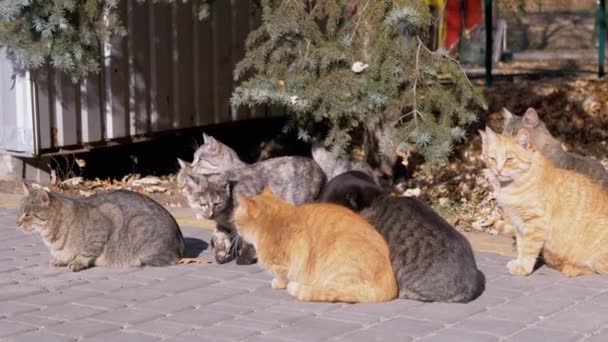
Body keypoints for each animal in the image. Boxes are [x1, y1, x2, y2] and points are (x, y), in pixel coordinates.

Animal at [18, 184, 185, 272]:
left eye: (27, 215)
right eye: (19, 212)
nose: (17, 222)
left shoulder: (105, 222)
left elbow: (86, 253)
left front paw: (77, 262)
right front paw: (60, 259)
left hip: (140, 232)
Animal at [233, 187, 400, 302]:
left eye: (236, 220)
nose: (234, 228)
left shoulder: (282, 264)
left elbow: (282, 276)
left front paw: (278, 283)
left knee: (337, 293)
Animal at [480, 127, 608, 276]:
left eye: (509, 159)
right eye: (492, 159)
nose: (498, 171)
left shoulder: (535, 223)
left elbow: (528, 248)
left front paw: (523, 267)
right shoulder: (519, 224)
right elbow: (521, 245)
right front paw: (519, 262)